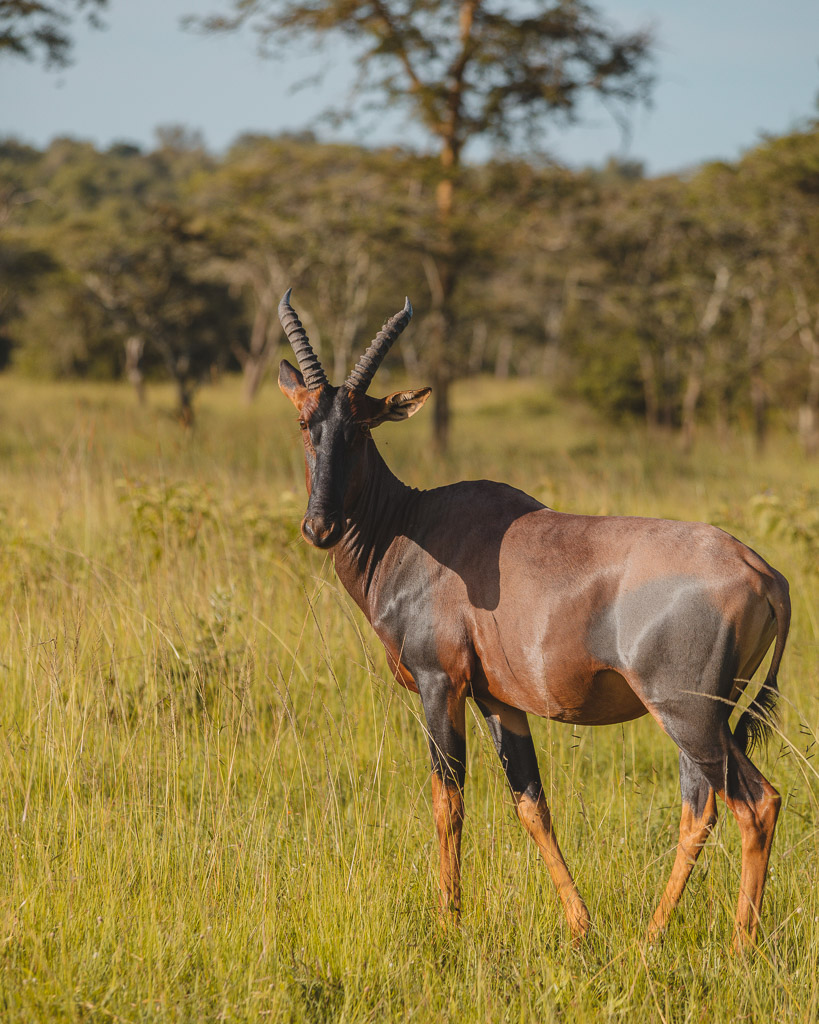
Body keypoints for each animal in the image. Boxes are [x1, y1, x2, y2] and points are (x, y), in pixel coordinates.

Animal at [278, 292, 790, 946]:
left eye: (362, 427)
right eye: (305, 423)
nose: (318, 528)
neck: (415, 525)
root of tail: (763, 572)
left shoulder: (440, 685)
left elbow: (449, 801)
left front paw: (448, 921)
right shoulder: (500, 700)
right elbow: (532, 804)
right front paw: (582, 925)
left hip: (688, 713)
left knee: (755, 802)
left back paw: (741, 946)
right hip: (701, 718)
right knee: (698, 808)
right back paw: (651, 937)